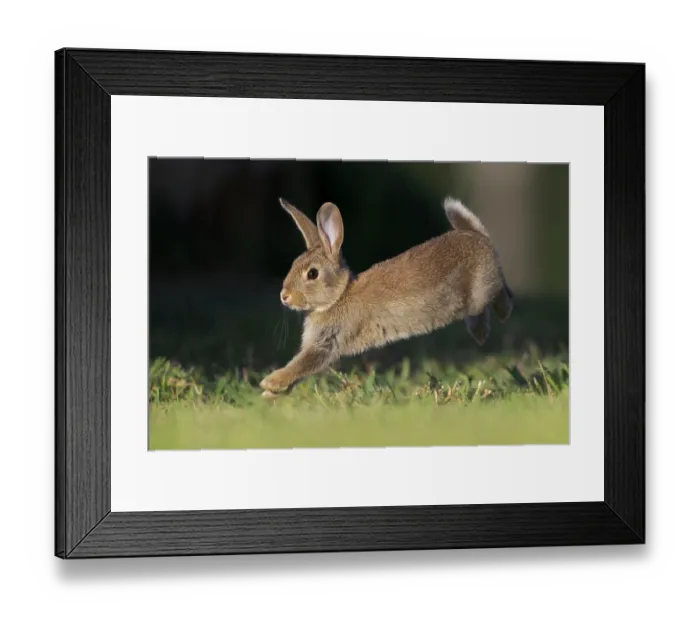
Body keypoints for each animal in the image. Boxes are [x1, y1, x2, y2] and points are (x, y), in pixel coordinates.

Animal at [259, 197, 513, 396]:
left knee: (500, 293)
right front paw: (270, 395)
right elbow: (299, 372)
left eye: (312, 273)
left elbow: (301, 365)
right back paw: (480, 333)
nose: (284, 296)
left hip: (481, 290)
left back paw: (499, 316)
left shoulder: (327, 343)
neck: (338, 297)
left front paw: (269, 383)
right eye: (294, 264)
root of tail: (480, 239)